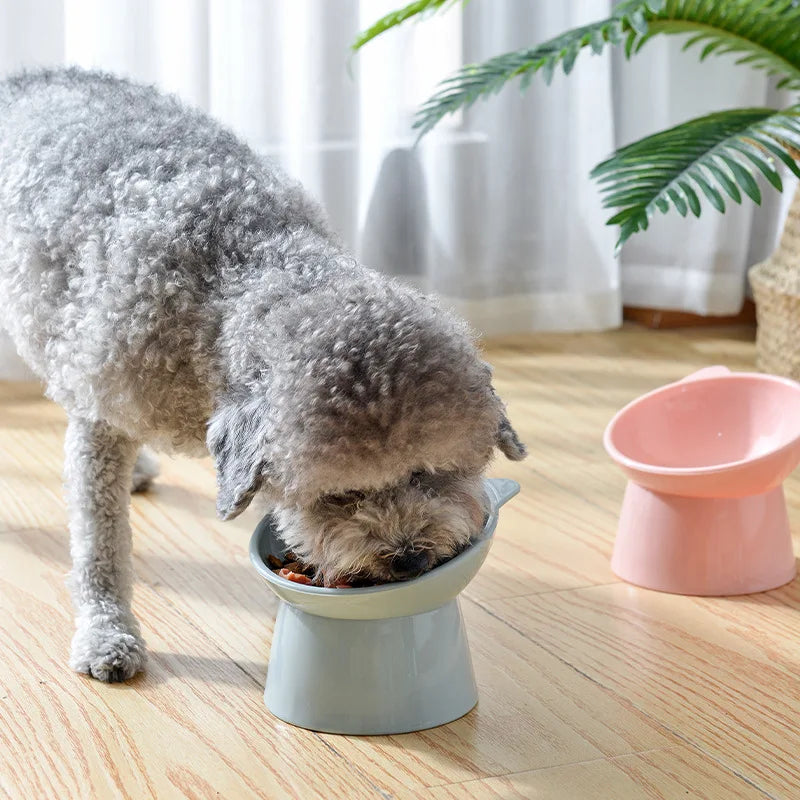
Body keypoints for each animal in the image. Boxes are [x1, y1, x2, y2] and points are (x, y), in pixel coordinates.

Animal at [0, 67, 524, 680]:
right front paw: (107, 635)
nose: (409, 559)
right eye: (339, 495)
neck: (233, 281)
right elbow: (99, 547)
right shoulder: (98, 419)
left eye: (429, 474)